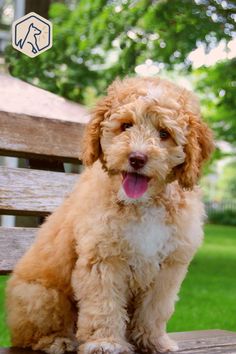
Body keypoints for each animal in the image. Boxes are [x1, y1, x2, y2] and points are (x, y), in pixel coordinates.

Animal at [6, 77, 214, 354]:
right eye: (126, 125)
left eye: (164, 134)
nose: (136, 158)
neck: (142, 203)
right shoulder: (103, 258)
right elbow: (104, 303)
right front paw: (105, 342)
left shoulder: (168, 266)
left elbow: (155, 308)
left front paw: (154, 341)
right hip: (42, 295)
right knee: (34, 332)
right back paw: (58, 340)